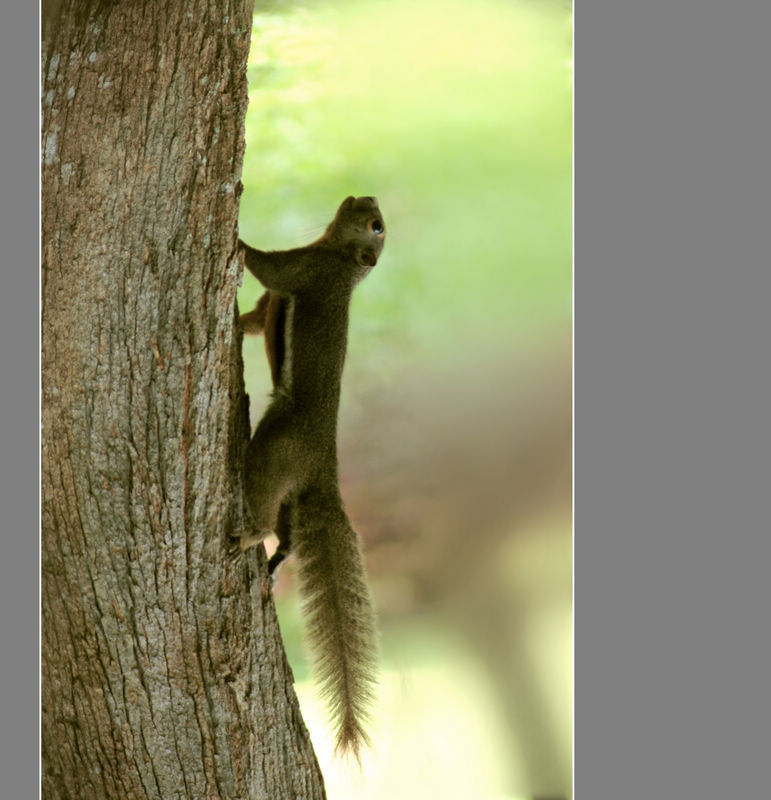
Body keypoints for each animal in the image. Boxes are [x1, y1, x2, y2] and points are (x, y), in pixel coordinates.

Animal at [238, 194, 386, 756]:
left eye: (376, 226)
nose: (365, 196)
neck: (340, 258)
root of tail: (325, 467)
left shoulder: (307, 270)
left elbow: (269, 268)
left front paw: (237, 238)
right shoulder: (285, 290)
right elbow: (257, 317)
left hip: (276, 449)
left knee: (261, 492)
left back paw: (252, 537)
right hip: (292, 493)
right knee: (291, 534)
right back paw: (277, 557)